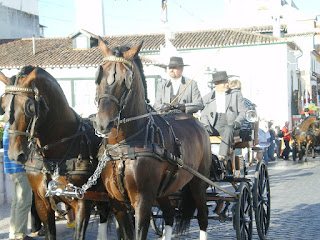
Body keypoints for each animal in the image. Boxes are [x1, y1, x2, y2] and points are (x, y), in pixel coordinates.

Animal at [92, 39, 212, 240]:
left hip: (198, 183)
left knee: (203, 217)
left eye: (126, 79)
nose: (103, 123)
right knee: (170, 215)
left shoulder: (143, 201)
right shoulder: (117, 203)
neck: (125, 145)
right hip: (163, 190)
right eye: (99, 75)